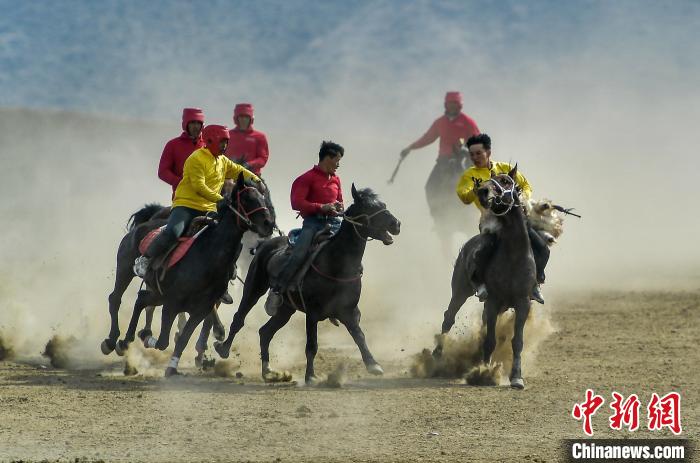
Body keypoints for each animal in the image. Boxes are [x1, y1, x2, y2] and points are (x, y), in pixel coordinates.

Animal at [215, 185, 400, 384]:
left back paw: (268, 371)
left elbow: (359, 336)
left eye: (383, 205)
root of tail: (265, 245)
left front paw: (373, 365)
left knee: (265, 332)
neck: (335, 263)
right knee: (239, 318)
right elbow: (312, 345)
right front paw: (310, 376)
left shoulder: (348, 311)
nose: (396, 224)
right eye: (369, 207)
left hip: (286, 309)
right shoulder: (312, 312)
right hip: (254, 288)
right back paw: (224, 348)